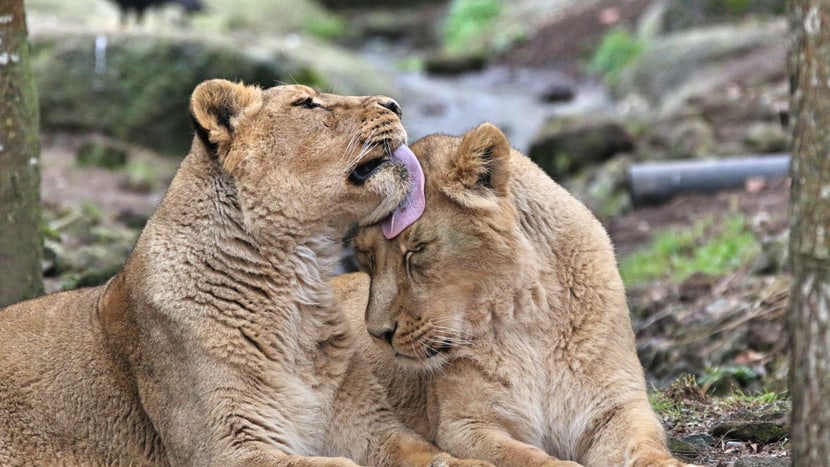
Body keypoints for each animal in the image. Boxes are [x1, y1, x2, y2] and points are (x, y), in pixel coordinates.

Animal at [0, 79, 491, 467]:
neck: (297, 285)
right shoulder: (226, 447)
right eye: (307, 103)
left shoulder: (370, 427)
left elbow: (442, 457)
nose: (395, 104)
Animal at [344, 123, 700, 467]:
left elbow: (645, 447)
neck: (530, 318)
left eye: (418, 249)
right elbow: (527, 457)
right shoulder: (464, 425)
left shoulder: (617, 406)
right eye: (366, 257)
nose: (378, 333)